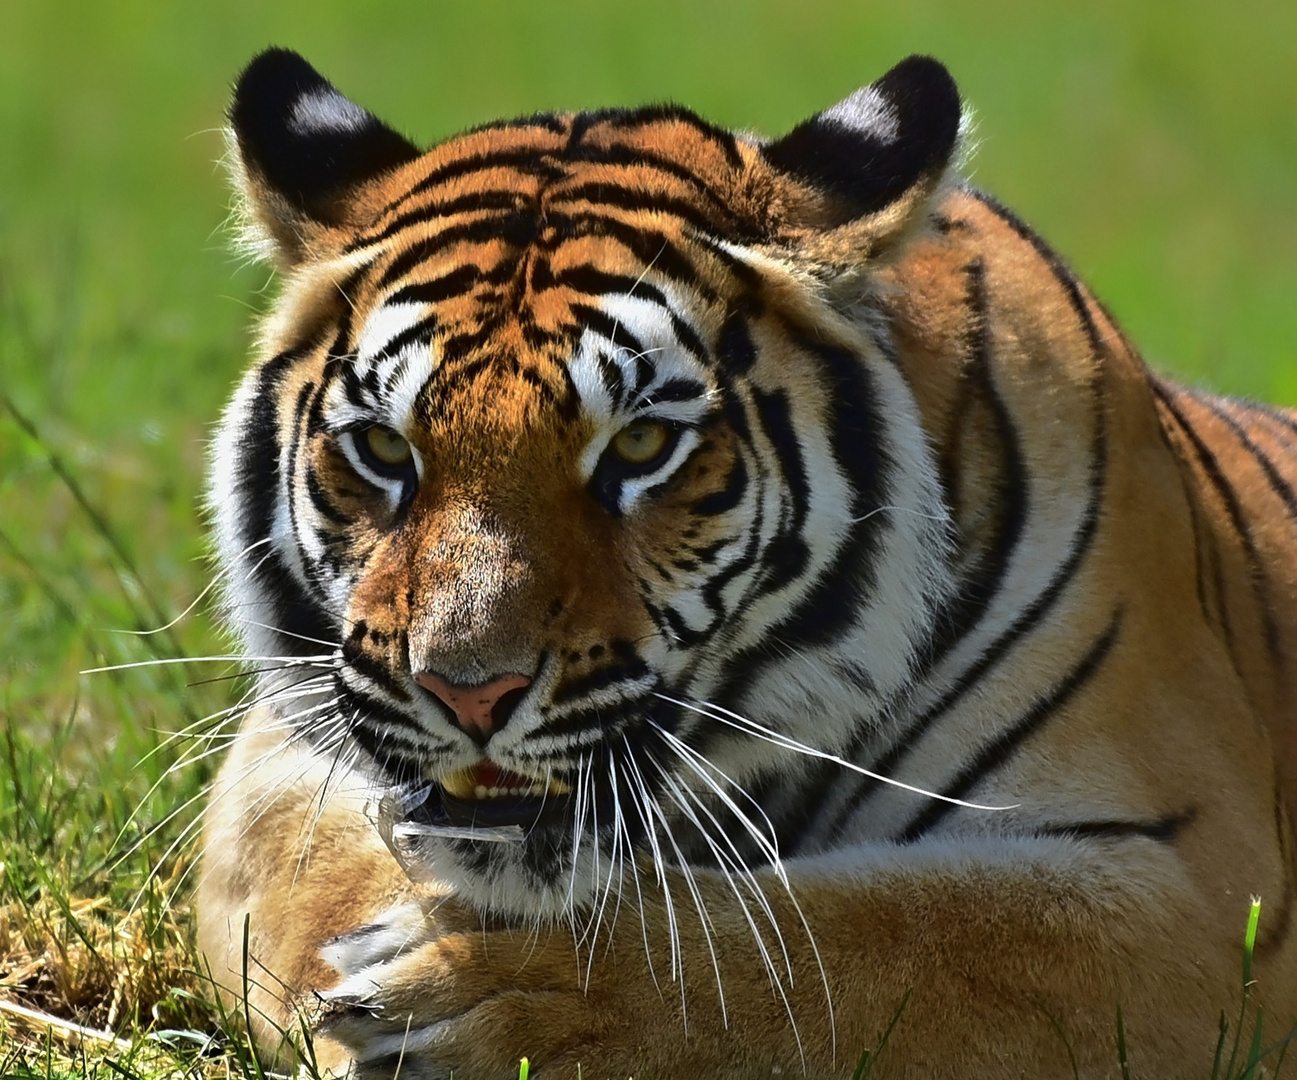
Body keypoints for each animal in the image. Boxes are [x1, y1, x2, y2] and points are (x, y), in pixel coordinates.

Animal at [191, 46, 1297, 1073]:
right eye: (386, 450)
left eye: (641, 445)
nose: (467, 693)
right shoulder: (288, 756)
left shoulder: (1186, 885)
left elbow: (846, 940)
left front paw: (474, 990)